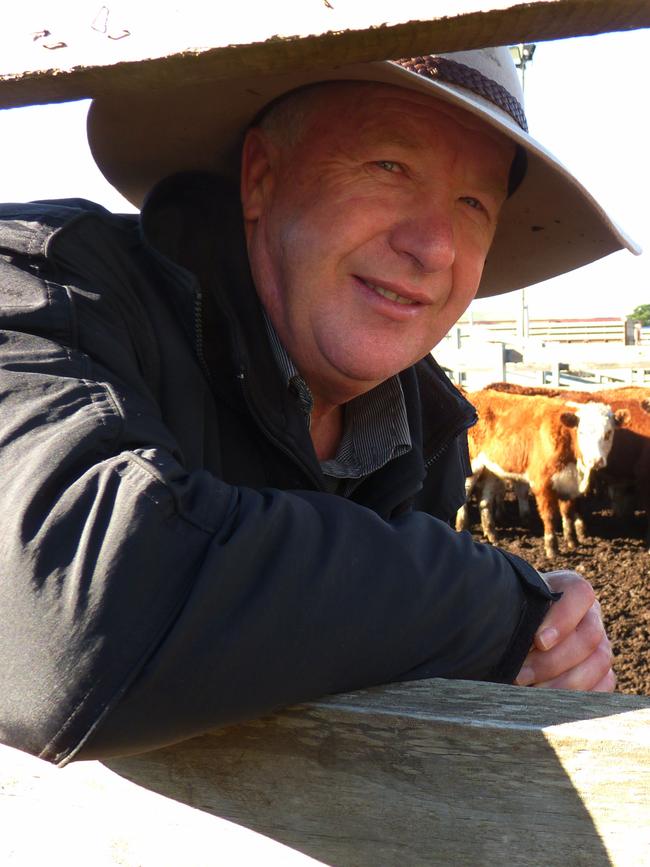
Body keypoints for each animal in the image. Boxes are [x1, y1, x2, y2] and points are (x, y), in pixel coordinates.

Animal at [456, 390, 616, 560]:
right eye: (582, 432)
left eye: (608, 433)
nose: (596, 460)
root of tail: (475, 394)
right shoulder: (542, 483)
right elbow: (549, 515)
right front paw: (552, 548)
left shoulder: (567, 483)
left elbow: (567, 513)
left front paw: (572, 541)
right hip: (471, 465)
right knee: (465, 493)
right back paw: (461, 525)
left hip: (490, 469)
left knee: (485, 501)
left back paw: (491, 534)